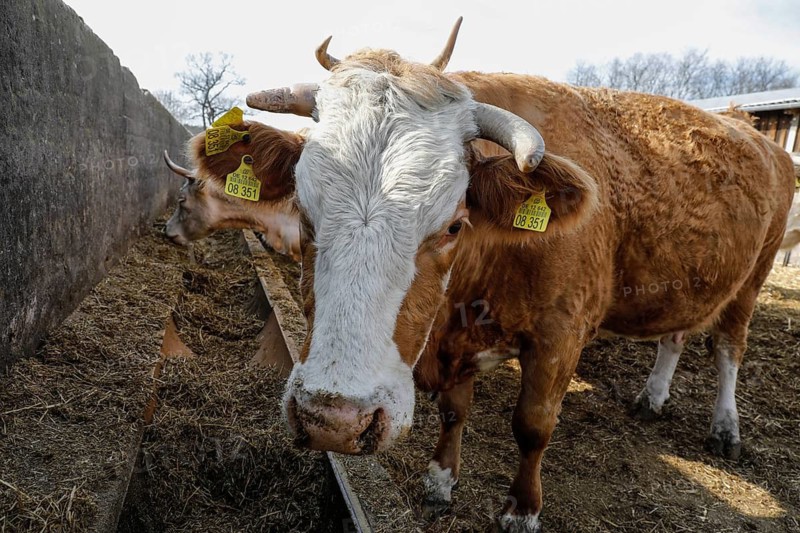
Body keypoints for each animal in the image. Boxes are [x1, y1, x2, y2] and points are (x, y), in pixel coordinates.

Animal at [184, 20, 794, 532]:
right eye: (304, 211)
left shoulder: (561, 336)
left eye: (454, 224)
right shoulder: (458, 340)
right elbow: (455, 411)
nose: (334, 420)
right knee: (676, 333)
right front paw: (440, 480)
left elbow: (533, 425)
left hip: (755, 276)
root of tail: (749, 125)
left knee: (729, 347)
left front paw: (522, 511)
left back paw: (725, 427)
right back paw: (653, 395)